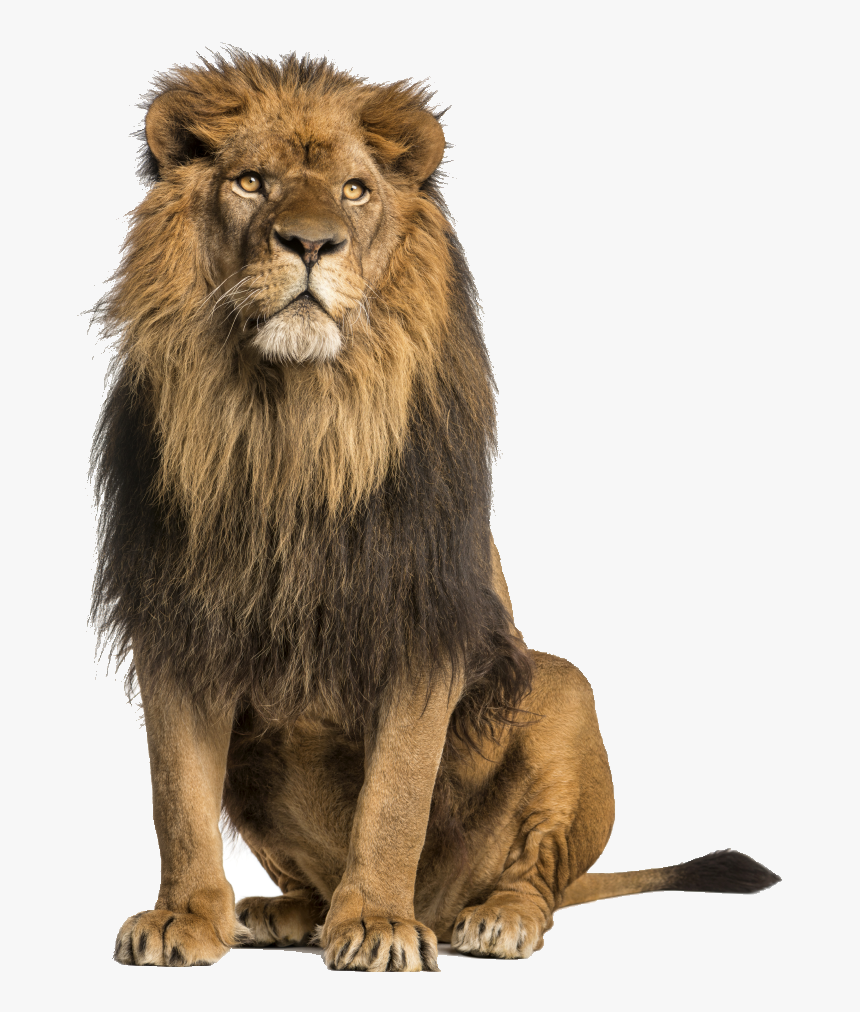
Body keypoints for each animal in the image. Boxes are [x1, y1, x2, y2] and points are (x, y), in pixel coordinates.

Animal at [92, 51, 779, 972]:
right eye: (249, 181)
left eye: (354, 191)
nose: (311, 244)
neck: (292, 422)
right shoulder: (176, 621)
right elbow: (176, 796)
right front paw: (185, 917)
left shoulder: (422, 623)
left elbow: (395, 796)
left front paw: (379, 924)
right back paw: (282, 912)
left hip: (565, 690)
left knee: (540, 875)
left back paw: (490, 919)